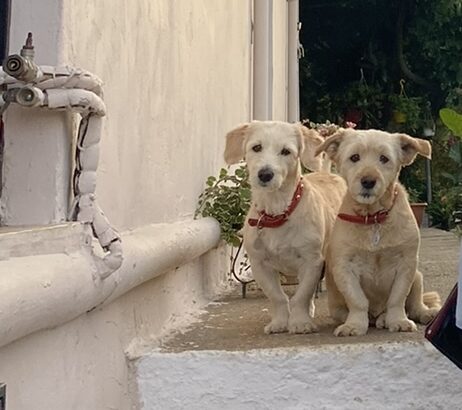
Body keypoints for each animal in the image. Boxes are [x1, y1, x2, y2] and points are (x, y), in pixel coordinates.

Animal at [224, 120, 346, 334]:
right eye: (256, 147)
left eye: (286, 151)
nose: (265, 174)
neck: (278, 212)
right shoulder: (260, 264)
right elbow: (278, 297)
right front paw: (280, 322)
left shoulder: (311, 262)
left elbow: (301, 296)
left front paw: (300, 322)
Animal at [314, 128, 440, 336]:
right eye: (354, 157)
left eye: (384, 158)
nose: (368, 181)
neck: (373, 218)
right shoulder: (344, 267)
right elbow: (357, 301)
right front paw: (354, 325)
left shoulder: (406, 264)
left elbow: (397, 299)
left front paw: (398, 320)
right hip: (336, 305)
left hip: (417, 277)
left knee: (415, 305)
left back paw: (422, 314)